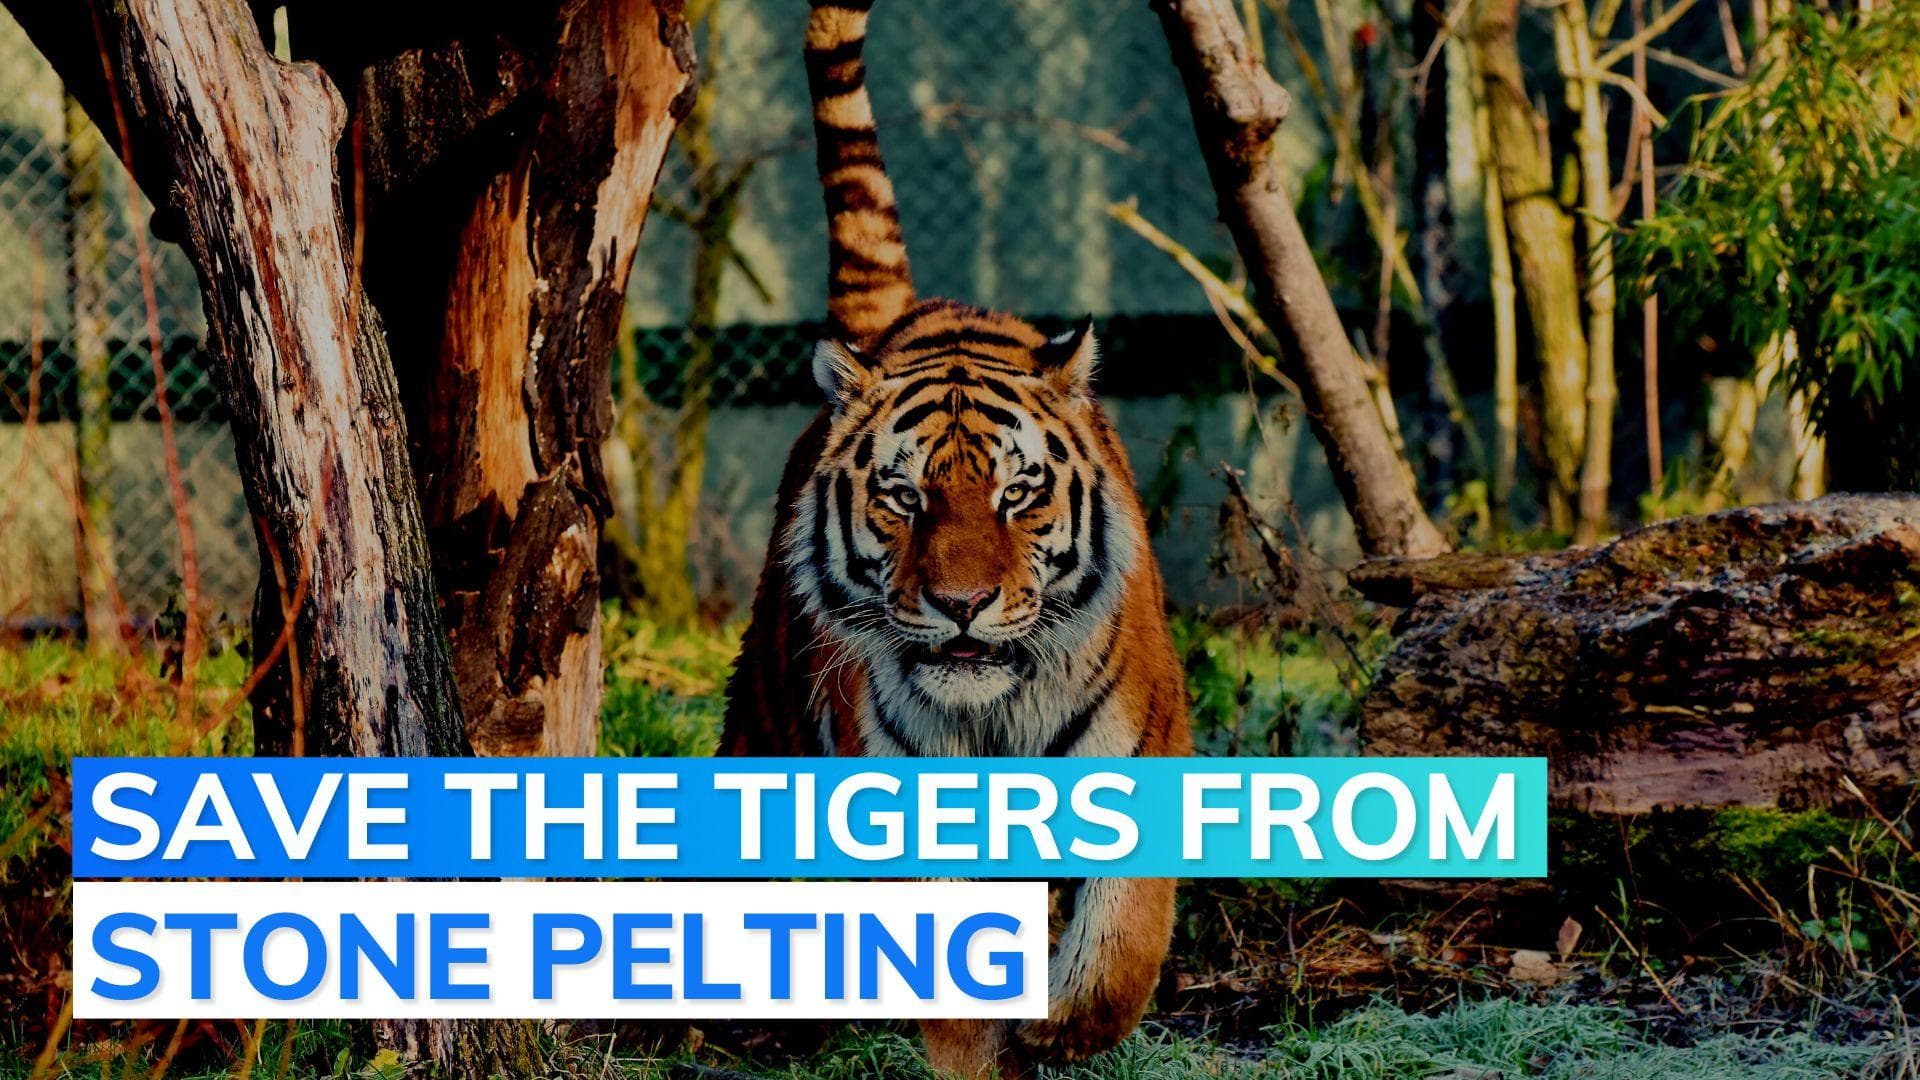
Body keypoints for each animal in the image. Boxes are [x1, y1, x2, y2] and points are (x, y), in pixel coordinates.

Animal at [719, 0, 1193, 1074]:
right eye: (903, 498)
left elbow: (1122, 949)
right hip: (764, 717)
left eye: (1018, 494)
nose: (963, 605)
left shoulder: (1144, 742)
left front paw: (1060, 1026)